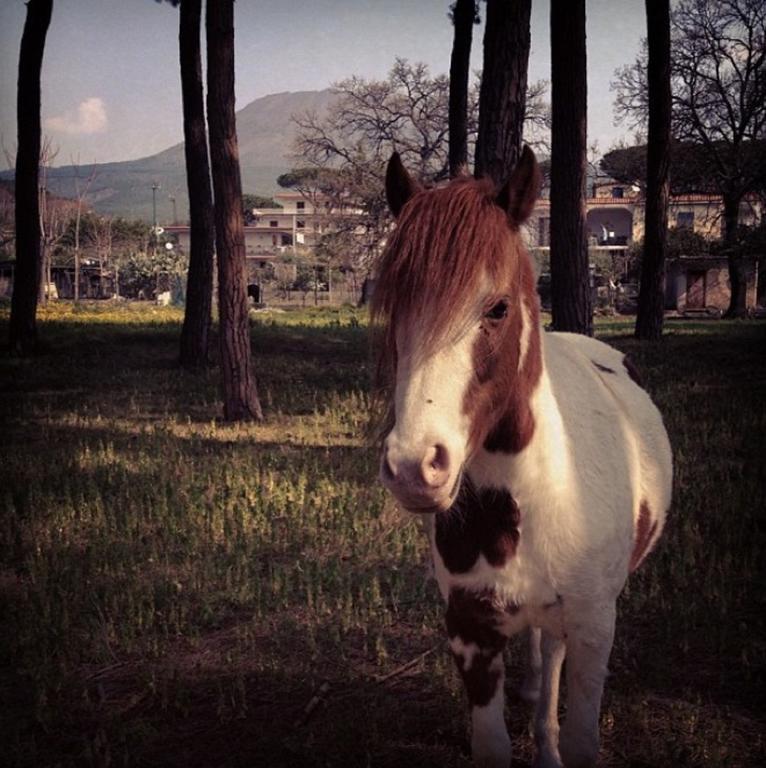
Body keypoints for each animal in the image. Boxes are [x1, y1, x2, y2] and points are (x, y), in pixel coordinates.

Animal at [372, 146, 672, 768]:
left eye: (498, 308)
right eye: (393, 307)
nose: (414, 467)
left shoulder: (592, 628)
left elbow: (580, 736)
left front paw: (554, 741)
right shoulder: (470, 631)